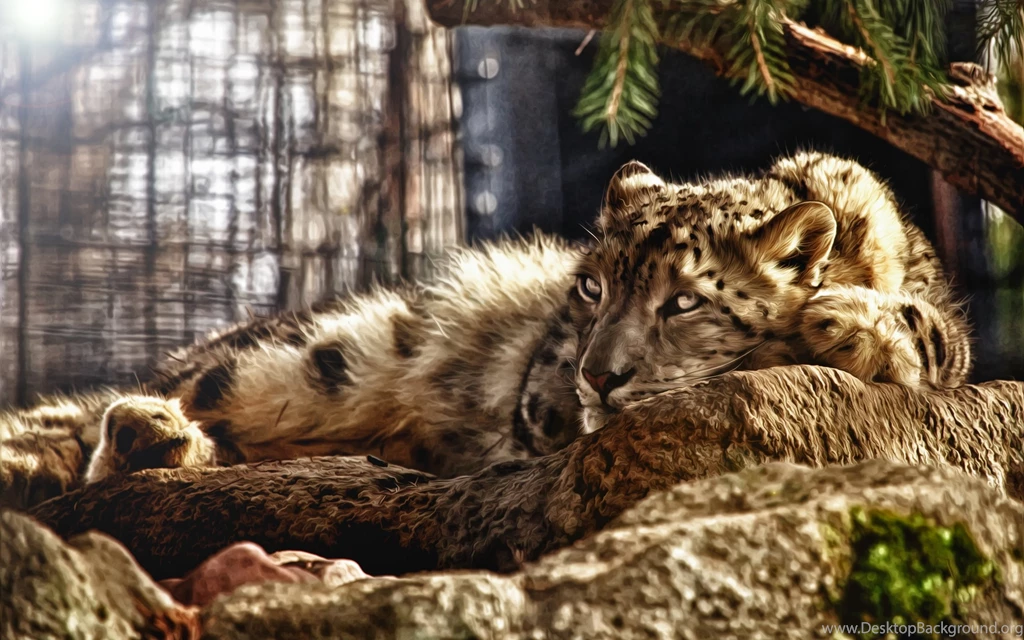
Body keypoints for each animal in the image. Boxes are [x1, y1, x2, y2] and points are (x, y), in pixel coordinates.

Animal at [0, 151, 972, 508]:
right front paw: (832, 322)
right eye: (590, 285)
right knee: (100, 423)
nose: (597, 376)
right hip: (315, 359)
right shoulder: (538, 401)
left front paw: (852, 322)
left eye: (685, 301)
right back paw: (140, 432)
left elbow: (939, 336)